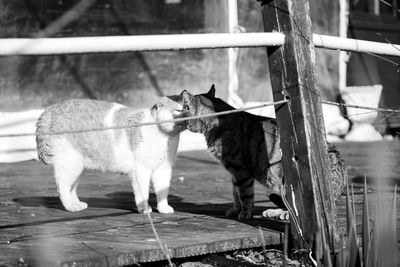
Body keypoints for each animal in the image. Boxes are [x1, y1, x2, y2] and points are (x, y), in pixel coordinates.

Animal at [36, 97, 186, 215]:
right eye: (179, 111)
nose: (186, 112)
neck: (166, 136)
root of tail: (50, 110)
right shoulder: (141, 170)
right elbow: (143, 192)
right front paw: (144, 208)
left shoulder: (163, 169)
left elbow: (162, 191)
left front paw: (163, 208)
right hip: (70, 163)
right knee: (62, 186)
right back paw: (70, 206)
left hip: (77, 167)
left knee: (71, 187)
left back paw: (77, 204)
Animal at [178, 87, 346, 221]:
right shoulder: (234, 172)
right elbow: (235, 193)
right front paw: (236, 210)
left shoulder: (241, 170)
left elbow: (244, 194)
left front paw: (245, 213)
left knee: (295, 207)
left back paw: (281, 213)